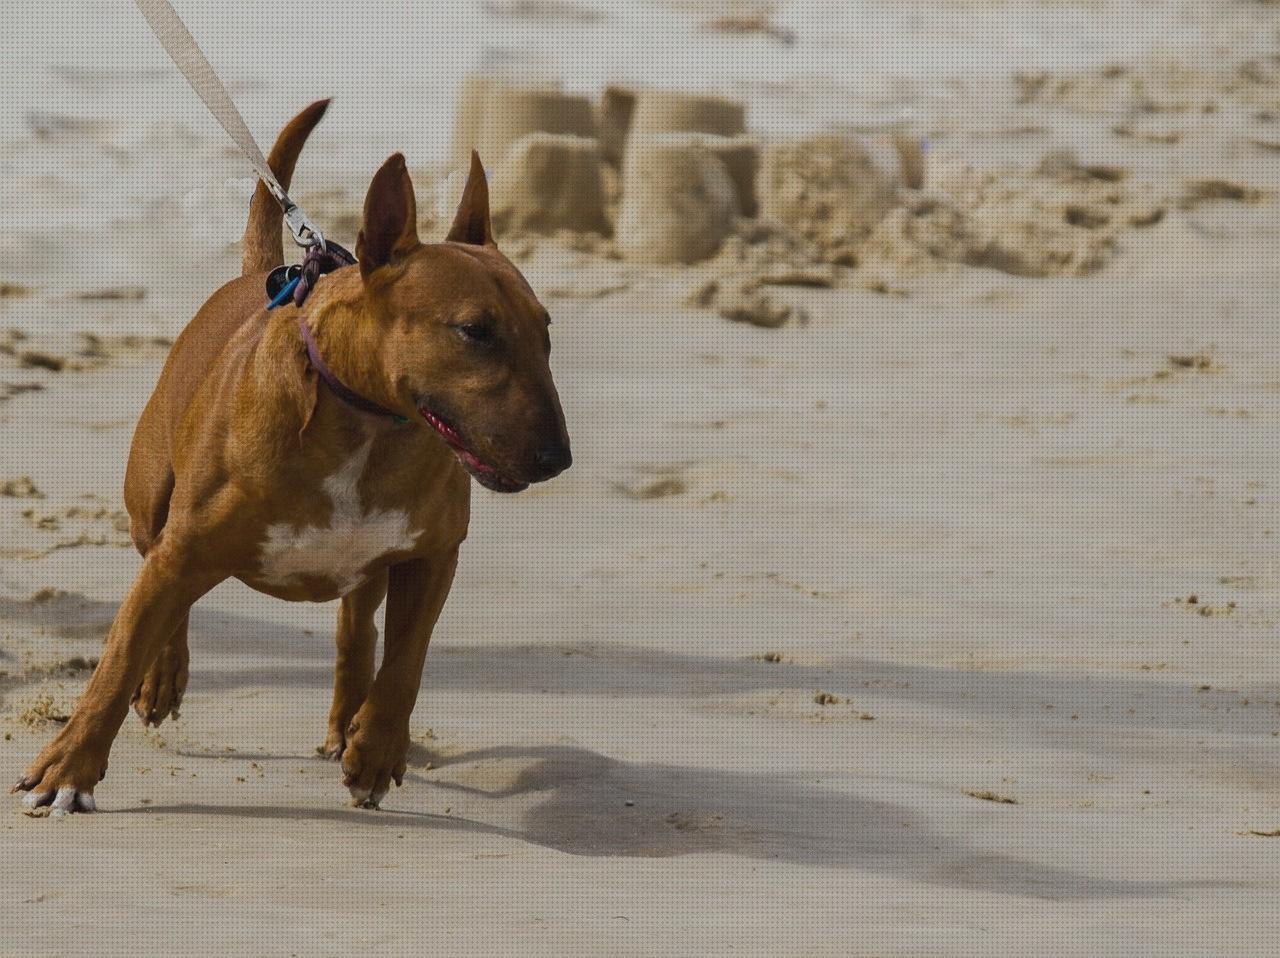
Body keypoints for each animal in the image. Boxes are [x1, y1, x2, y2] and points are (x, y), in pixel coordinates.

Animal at [11, 101, 570, 814]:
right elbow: (119, 657)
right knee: (159, 581)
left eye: (545, 332)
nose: (557, 458)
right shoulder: (184, 548)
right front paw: (67, 771)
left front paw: (375, 750)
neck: (369, 426)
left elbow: (407, 659)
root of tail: (260, 274)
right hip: (151, 507)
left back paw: (347, 725)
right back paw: (164, 677)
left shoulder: (433, 555)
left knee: (357, 629)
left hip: (366, 568)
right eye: (475, 331)